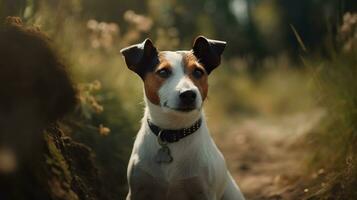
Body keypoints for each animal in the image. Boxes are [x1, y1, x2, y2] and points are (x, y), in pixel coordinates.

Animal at [121, 36, 243, 200]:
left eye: (198, 72)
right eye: (163, 72)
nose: (188, 94)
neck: (173, 132)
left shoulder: (204, 192)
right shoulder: (137, 190)